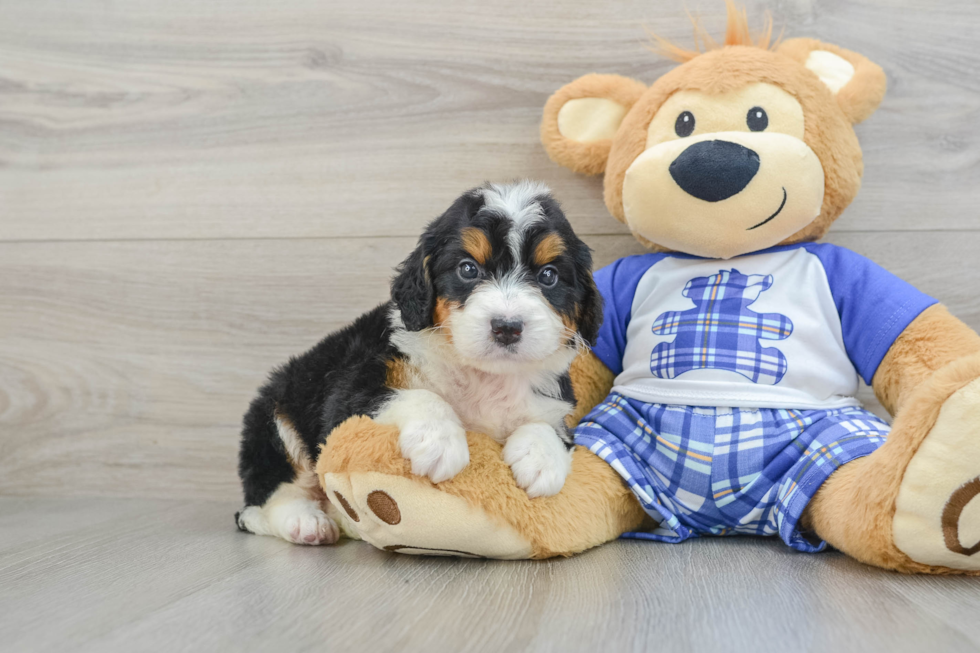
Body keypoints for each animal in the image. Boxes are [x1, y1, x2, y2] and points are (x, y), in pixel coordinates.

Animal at [237, 181, 604, 544]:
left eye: (548, 276)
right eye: (468, 269)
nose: (507, 327)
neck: (484, 375)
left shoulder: (554, 400)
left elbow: (551, 426)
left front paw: (542, 459)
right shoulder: (350, 390)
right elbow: (418, 395)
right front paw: (440, 440)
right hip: (275, 419)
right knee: (266, 500)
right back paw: (306, 522)